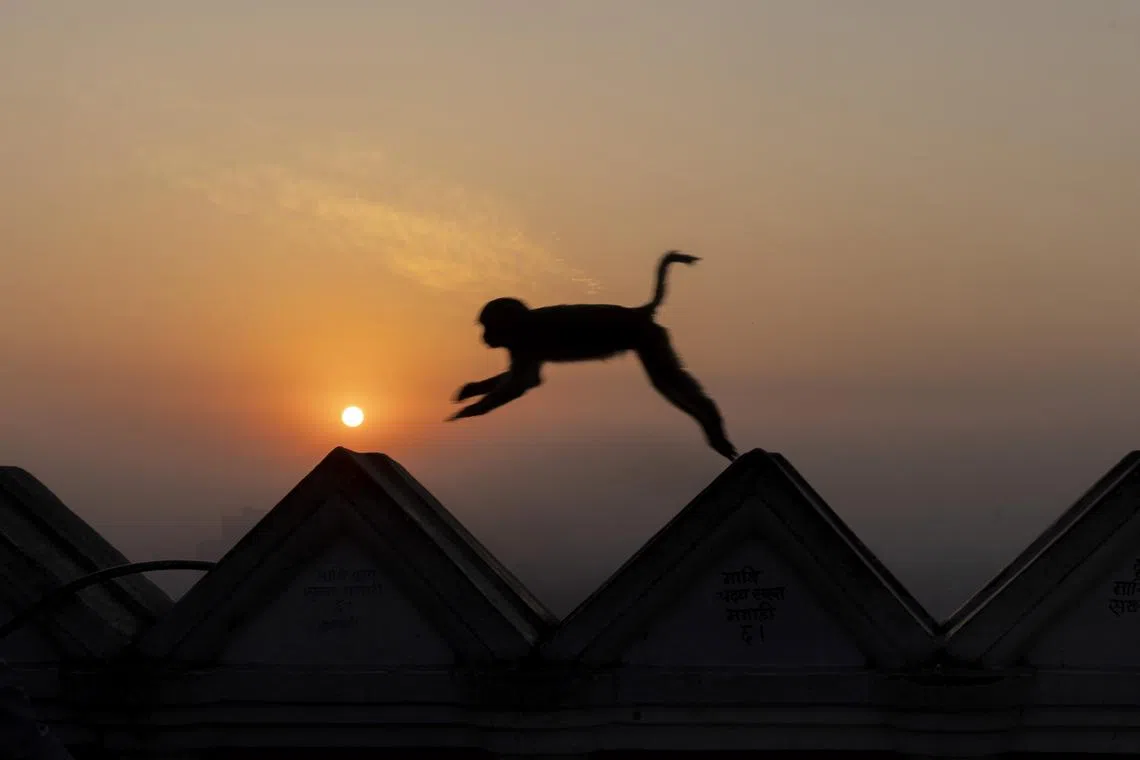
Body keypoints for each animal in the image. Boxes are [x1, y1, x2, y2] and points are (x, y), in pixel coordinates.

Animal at [446, 251, 738, 461]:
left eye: (486, 326)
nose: (484, 338)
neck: (521, 323)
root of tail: (638, 312)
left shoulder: (525, 343)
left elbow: (522, 382)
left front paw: (469, 411)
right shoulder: (521, 348)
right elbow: (525, 379)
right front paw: (471, 390)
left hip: (648, 338)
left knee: (667, 378)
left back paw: (711, 419)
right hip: (649, 340)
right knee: (665, 383)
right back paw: (709, 429)